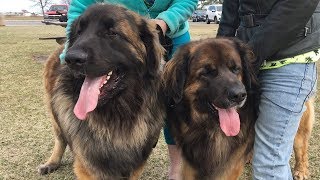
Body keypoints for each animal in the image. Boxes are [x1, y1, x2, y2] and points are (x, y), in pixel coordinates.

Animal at [38, 4, 165, 180]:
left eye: (111, 32)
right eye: (79, 32)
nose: (72, 59)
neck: (118, 115)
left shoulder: (136, 165)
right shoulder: (89, 167)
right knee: (60, 139)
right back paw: (52, 162)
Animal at [164, 37, 314, 179]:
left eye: (236, 69)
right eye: (207, 72)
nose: (239, 95)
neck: (207, 128)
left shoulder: (228, 166)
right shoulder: (190, 163)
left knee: (301, 147)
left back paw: (301, 170)